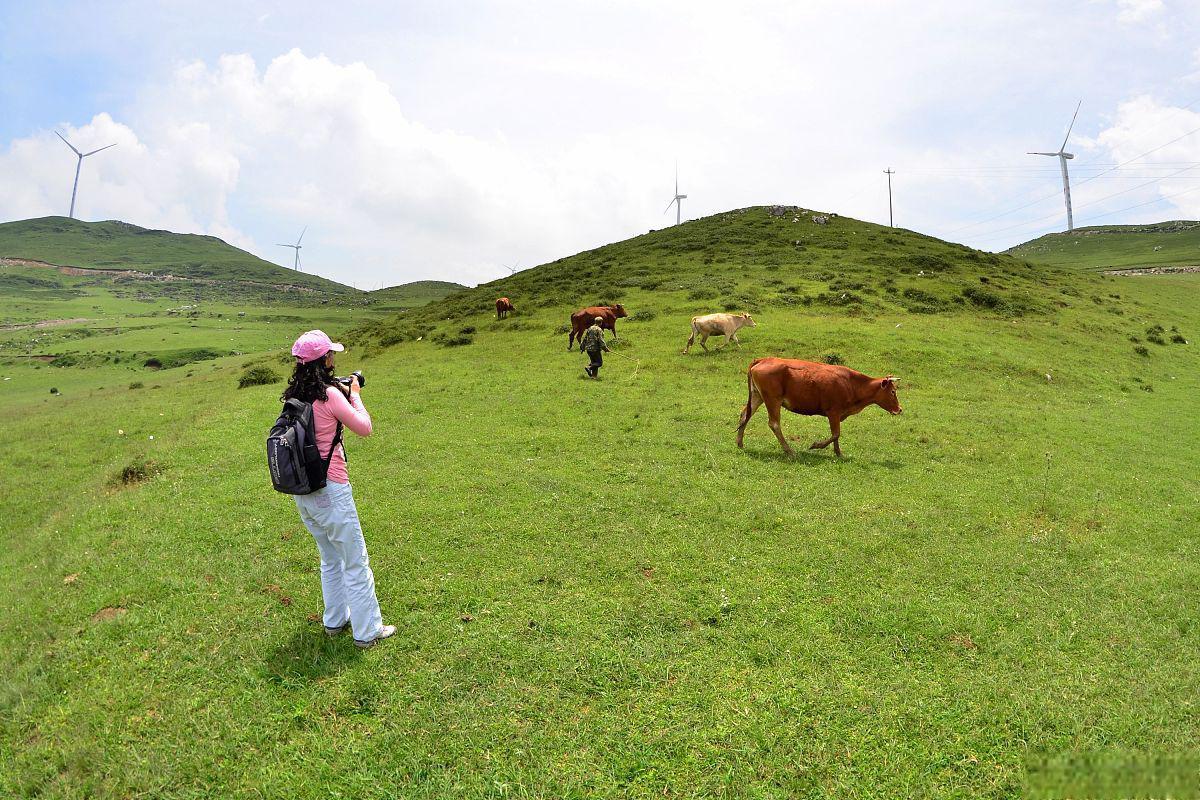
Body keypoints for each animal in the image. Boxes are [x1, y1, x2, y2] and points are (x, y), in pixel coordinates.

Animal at [734, 357, 902, 455]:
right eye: (893, 391)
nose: (900, 409)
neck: (852, 384)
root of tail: (763, 359)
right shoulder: (833, 411)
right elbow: (836, 434)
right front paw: (816, 445)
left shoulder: (837, 414)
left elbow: (836, 435)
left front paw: (838, 453)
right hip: (772, 399)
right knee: (774, 424)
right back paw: (789, 450)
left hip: (757, 396)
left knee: (745, 416)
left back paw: (740, 443)